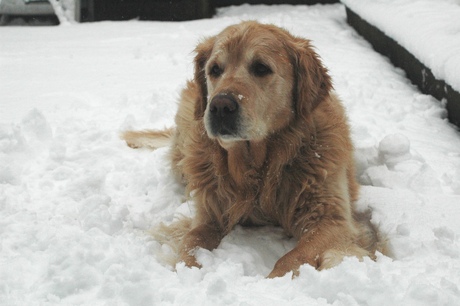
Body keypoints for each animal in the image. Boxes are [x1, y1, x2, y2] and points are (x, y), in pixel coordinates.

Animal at [121, 21, 378, 278]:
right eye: (215, 69)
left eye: (261, 68)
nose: (220, 106)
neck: (259, 167)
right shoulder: (210, 211)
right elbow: (191, 240)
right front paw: (190, 272)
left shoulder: (332, 221)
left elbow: (291, 258)